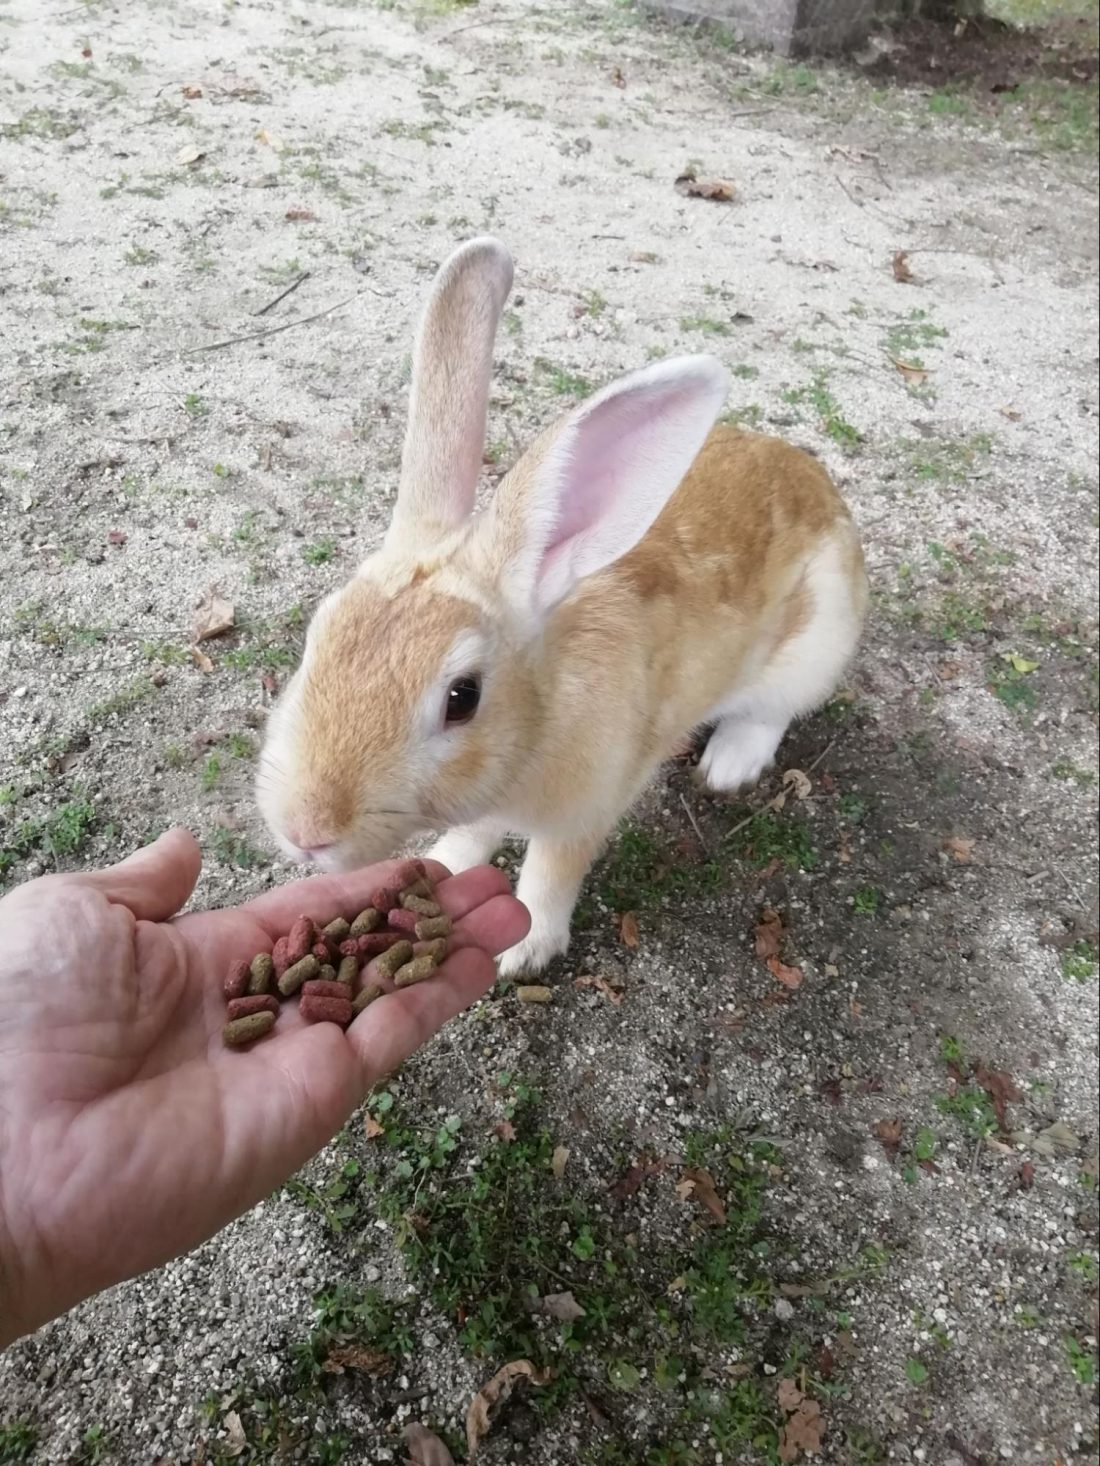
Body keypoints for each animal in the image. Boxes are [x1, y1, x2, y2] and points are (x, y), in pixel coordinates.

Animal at [256, 236, 868, 977]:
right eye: (318, 636)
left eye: (462, 697)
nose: (305, 830)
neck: (537, 719)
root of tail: (823, 490)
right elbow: (473, 837)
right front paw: (445, 866)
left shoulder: (586, 809)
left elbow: (552, 870)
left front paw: (522, 950)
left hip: (815, 644)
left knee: (774, 710)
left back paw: (729, 764)